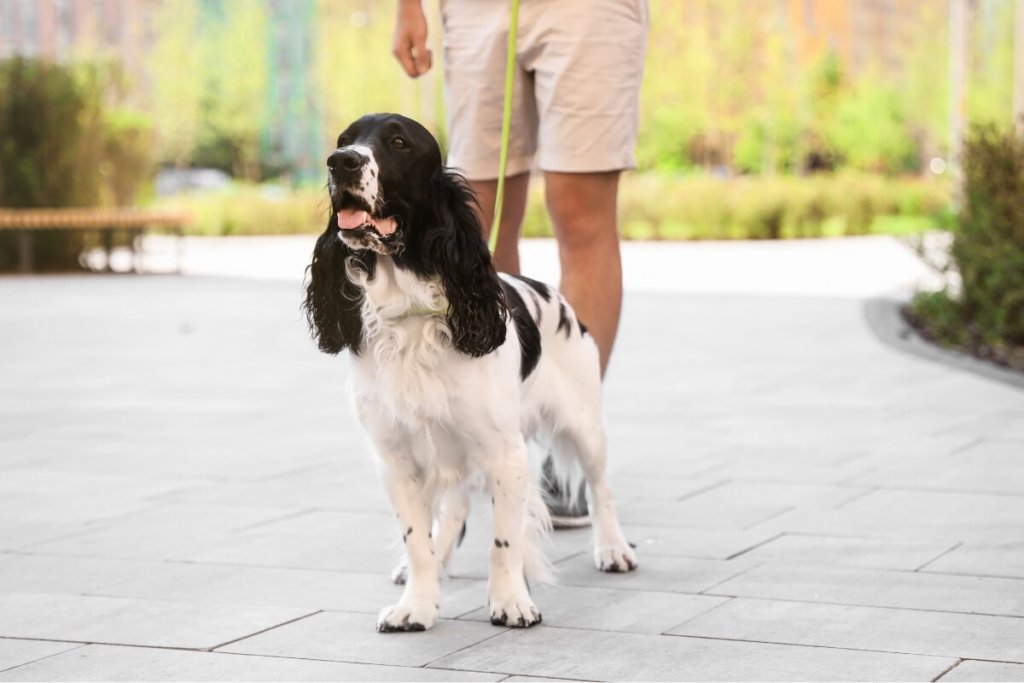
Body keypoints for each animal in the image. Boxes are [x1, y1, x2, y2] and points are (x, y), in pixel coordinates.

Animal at [303, 114, 634, 634]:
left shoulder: (504, 453)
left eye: (398, 142)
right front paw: (417, 605)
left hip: (584, 425)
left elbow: (505, 542)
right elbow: (416, 538)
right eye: (343, 140)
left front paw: (511, 602)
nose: (341, 162)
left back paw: (614, 549)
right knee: (455, 505)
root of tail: (558, 298)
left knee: (600, 488)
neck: (411, 311)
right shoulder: (396, 457)